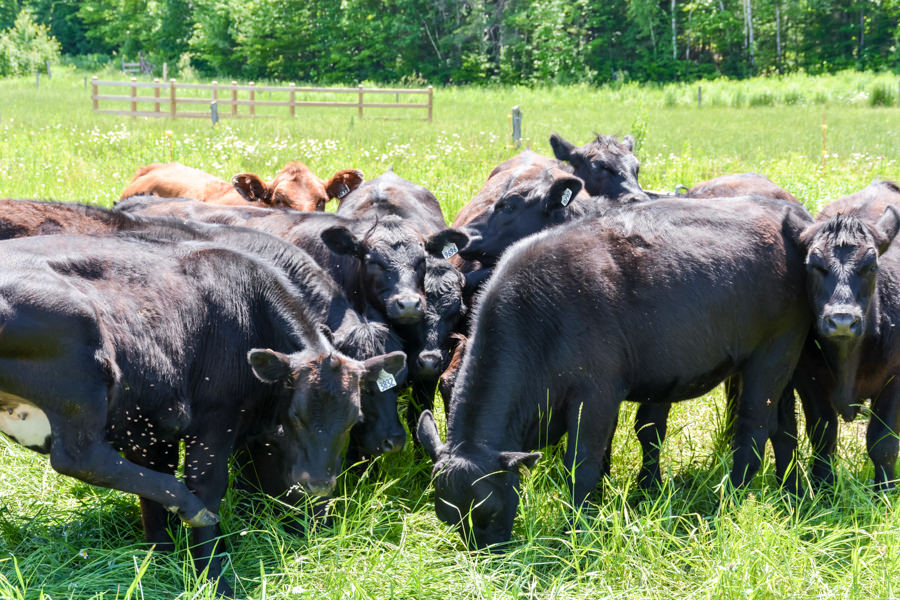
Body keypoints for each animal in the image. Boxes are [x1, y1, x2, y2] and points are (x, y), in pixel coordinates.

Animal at [0, 232, 402, 592]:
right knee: (79, 456)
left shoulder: (151, 426)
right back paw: (188, 505)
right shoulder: (214, 419)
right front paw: (213, 575)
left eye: (353, 419)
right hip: (82, 362)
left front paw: (158, 559)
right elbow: (207, 485)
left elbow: (152, 494)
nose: (319, 483)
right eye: (295, 415)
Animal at [418, 196, 812, 548]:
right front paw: (600, 505)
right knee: (784, 428)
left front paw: (577, 529)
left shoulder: (595, 395)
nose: (485, 556)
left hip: (774, 350)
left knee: (753, 430)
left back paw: (728, 499)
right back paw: (790, 491)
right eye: (448, 517)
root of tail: (788, 211)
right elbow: (604, 456)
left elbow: (582, 464)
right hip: (785, 359)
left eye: (489, 511)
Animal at [792, 180, 900, 490]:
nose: (842, 321)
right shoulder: (808, 380)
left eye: (871, 266)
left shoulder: (895, 378)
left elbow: (883, 442)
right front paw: (824, 485)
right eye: (815, 266)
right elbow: (823, 434)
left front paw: (884, 490)